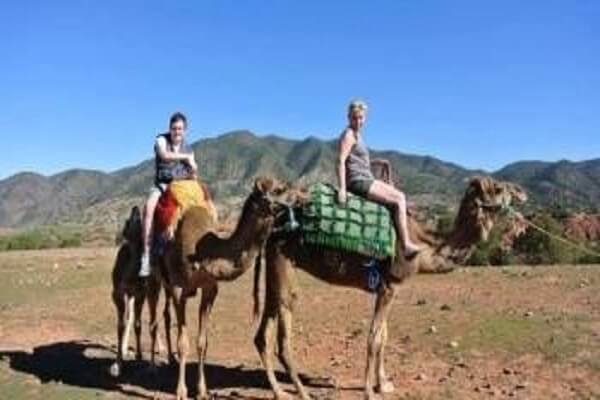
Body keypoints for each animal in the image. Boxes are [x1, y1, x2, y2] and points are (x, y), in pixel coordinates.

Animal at [156, 177, 294, 400]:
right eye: (279, 189)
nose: (303, 197)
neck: (203, 253)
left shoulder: (210, 289)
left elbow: (202, 342)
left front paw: (202, 390)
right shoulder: (178, 288)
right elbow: (183, 342)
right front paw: (181, 391)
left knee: (166, 314)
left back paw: (171, 360)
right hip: (159, 279)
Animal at [254, 177, 528, 398]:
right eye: (499, 188)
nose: (522, 192)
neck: (423, 247)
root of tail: (274, 224)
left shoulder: (387, 289)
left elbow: (384, 336)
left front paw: (383, 384)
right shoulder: (389, 285)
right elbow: (374, 337)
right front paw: (368, 392)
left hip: (274, 266)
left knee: (262, 333)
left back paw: (279, 391)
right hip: (283, 259)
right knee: (284, 327)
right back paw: (301, 392)